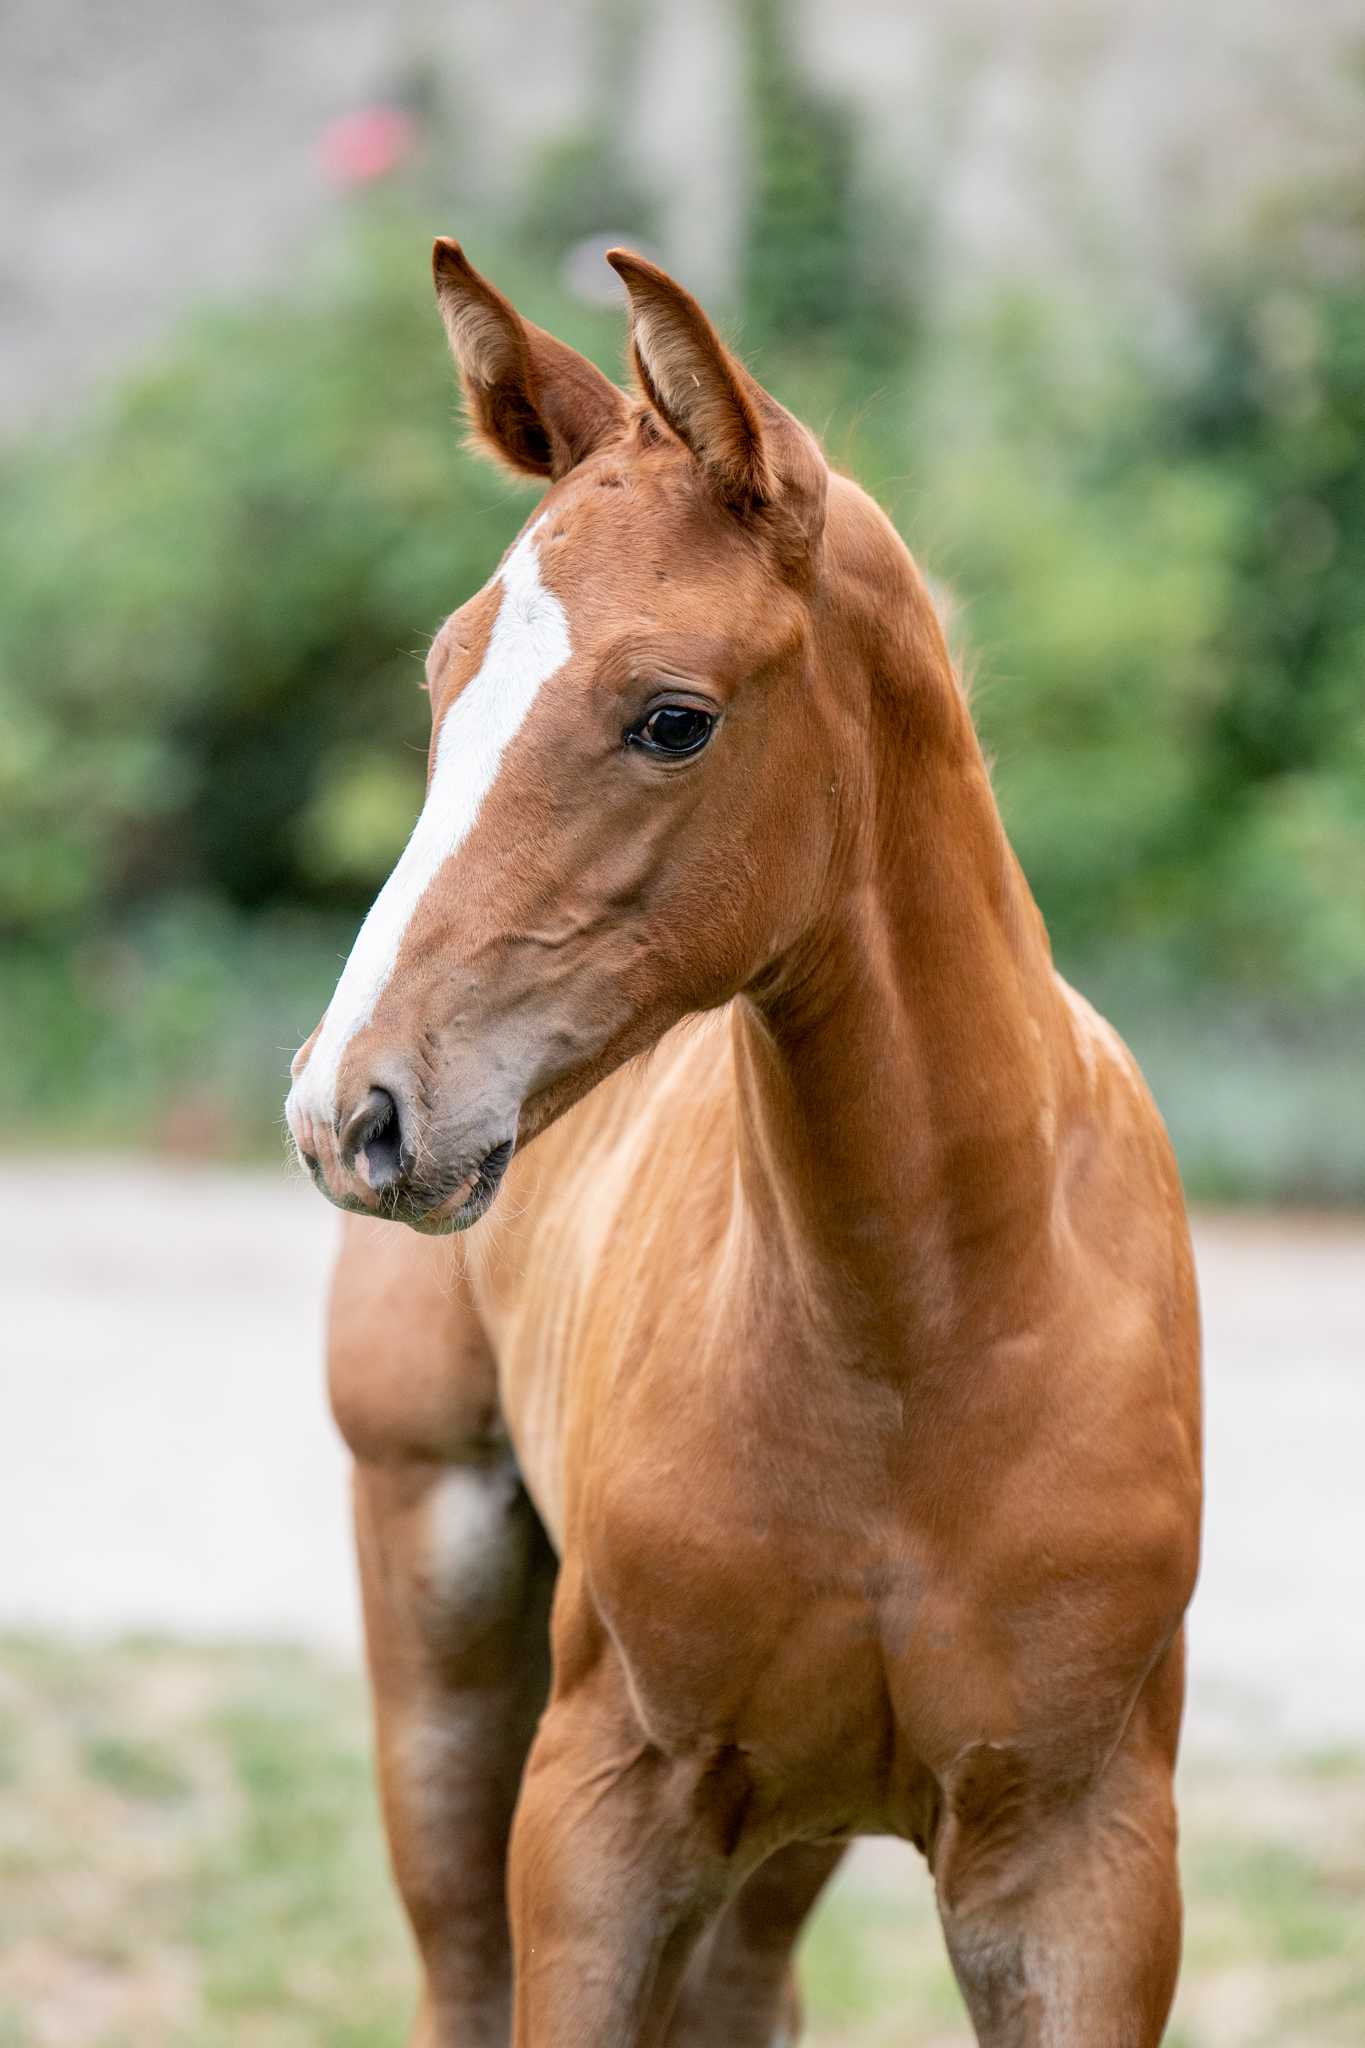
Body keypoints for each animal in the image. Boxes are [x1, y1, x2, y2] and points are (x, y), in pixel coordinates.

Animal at [285, 239, 1203, 2047]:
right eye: (444, 680)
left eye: (672, 719)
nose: (353, 1106)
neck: (920, 1328)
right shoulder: (598, 1811)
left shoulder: (1085, 1863)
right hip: (437, 1593)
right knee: (456, 1967)